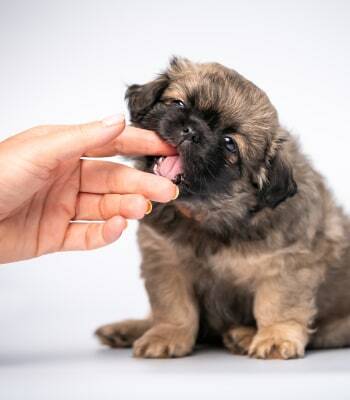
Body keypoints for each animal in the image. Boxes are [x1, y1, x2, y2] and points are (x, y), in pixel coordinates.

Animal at [95, 57, 350, 360]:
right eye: (178, 104)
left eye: (229, 143)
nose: (192, 130)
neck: (207, 215)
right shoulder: (166, 261)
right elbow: (174, 307)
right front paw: (166, 335)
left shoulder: (286, 264)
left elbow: (277, 304)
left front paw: (276, 337)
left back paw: (243, 335)